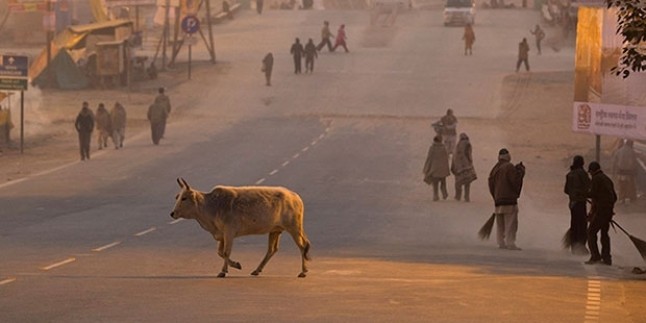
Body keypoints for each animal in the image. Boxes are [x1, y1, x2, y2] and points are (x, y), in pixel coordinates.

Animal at [171, 177, 312, 278]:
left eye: (184, 198)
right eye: (177, 197)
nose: (172, 213)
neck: (212, 206)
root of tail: (295, 196)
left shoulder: (229, 232)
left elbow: (226, 252)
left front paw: (223, 271)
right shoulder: (222, 235)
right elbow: (220, 252)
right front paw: (236, 265)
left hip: (294, 227)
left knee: (302, 246)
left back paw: (303, 271)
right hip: (275, 230)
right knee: (272, 249)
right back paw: (257, 270)